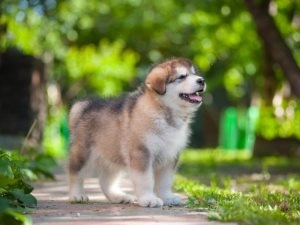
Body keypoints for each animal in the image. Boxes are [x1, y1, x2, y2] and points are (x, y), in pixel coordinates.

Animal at [67, 57, 205, 207]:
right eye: (182, 76)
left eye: (194, 74)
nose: (202, 80)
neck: (165, 113)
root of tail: (85, 106)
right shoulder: (141, 152)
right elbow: (145, 180)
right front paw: (149, 199)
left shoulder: (170, 155)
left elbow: (165, 181)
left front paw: (167, 197)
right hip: (83, 154)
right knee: (75, 173)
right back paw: (77, 195)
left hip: (113, 156)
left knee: (105, 180)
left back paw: (118, 196)